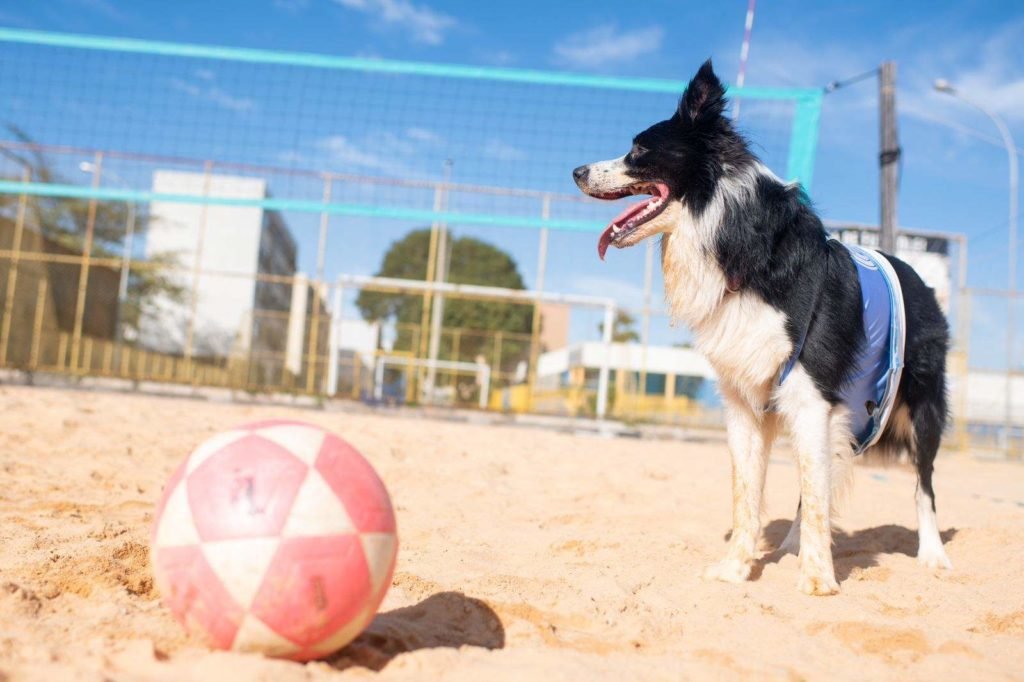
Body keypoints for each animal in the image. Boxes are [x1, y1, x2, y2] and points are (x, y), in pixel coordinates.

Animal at [577, 61, 950, 593]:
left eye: (639, 150)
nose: (576, 172)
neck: (736, 241)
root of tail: (923, 281)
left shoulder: (812, 398)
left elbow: (816, 494)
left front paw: (818, 580)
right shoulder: (746, 401)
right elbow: (748, 492)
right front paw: (737, 569)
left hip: (921, 409)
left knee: (923, 484)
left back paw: (933, 555)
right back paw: (791, 546)